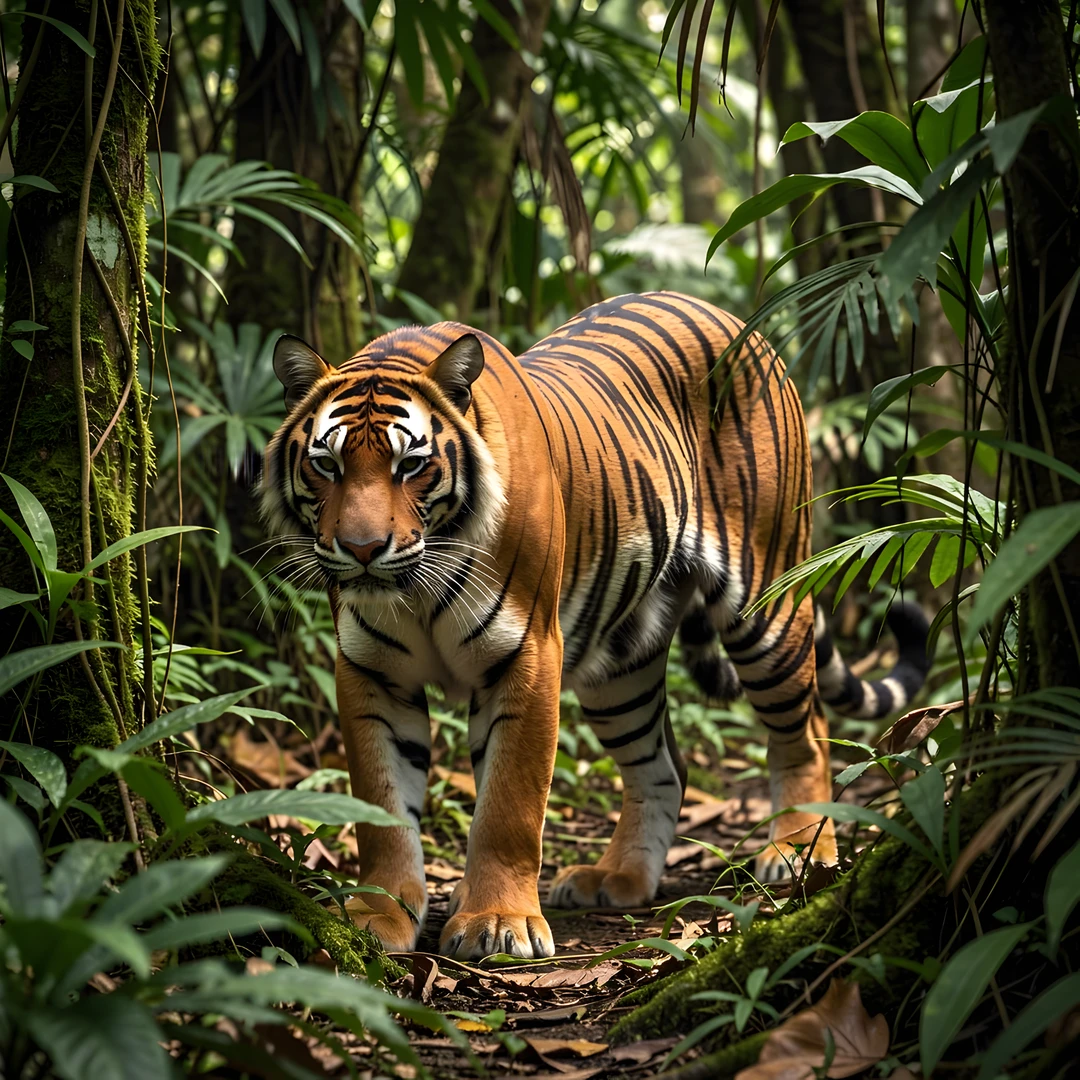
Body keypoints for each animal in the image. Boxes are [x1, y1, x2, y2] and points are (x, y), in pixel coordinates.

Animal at [261, 291, 930, 961]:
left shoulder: (528, 652)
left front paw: (497, 922)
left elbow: (509, 804)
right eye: (326, 464)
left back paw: (796, 850)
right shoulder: (370, 669)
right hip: (622, 671)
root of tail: (732, 318)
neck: (417, 584)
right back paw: (618, 876)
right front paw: (373, 919)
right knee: (662, 769)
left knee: (806, 732)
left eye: (411, 465)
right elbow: (380, 807)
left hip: (766, 601)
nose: (361, 549)